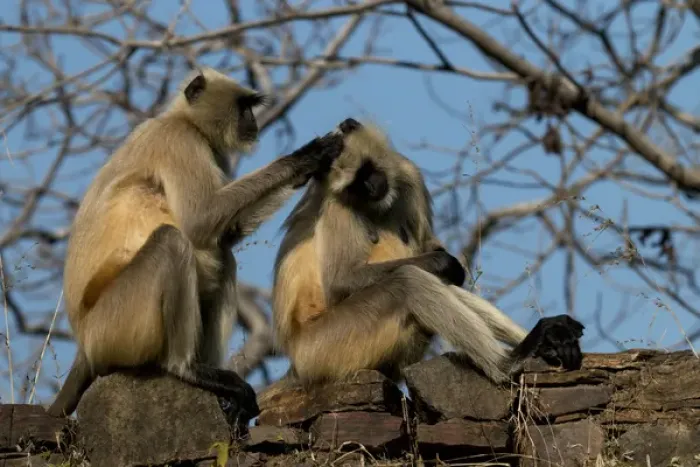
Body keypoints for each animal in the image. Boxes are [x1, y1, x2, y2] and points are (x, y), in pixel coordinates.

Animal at [46, 67, 344, 419]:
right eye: (244, 106)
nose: (252, 121)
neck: (182, 119)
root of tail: (83, 344)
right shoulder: (180, 141)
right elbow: (200, 220)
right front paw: (304, 159)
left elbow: (225, 232)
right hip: (112, 326)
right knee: (173, 241)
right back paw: (185, 368)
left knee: (223, 256)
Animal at [271, 118, 584, 388]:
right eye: (357, 185)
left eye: (366, 172)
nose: (371, 187)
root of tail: (295, 355)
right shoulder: (339, 204)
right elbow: (341, 281)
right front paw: (442, 261)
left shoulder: (408, 171)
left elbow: (428, 245)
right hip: (327, 346)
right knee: (408, 281)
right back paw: (509, 362)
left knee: (436, 283)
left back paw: (549, 339)